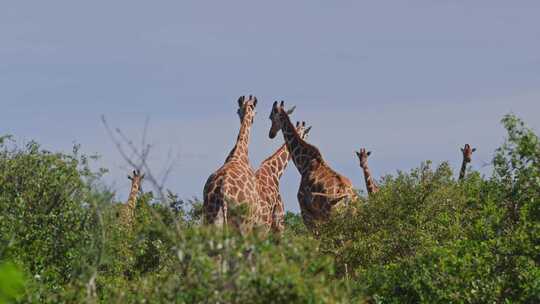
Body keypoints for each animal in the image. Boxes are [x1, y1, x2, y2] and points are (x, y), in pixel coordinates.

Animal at [202, 95, 262, 233]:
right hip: (244, 224)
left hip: (211, 218)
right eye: (256, 112)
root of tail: (223, 192)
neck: (239, 153)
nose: (252, 121)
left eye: (239, 111)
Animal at [268, 101, 358, 232]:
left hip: (333, 216)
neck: (303, 164)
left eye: (270, 117)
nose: (271, 134)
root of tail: (347, 196)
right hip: (354, 215)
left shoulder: (306, 212)